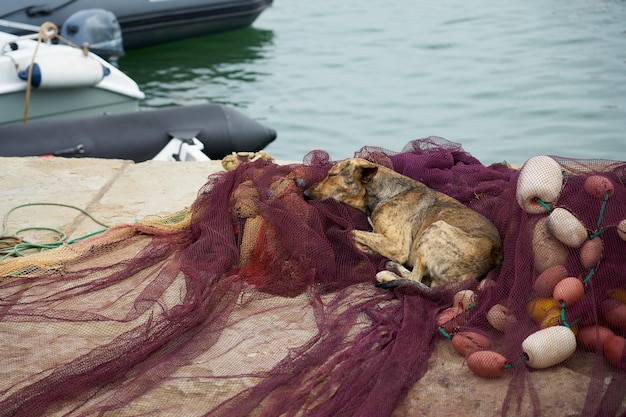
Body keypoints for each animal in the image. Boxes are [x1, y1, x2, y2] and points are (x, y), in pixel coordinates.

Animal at [302, 157, 502, 292]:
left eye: (331, 175)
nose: (304, 193)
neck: (380, 191)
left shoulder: (398, 247)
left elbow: (351, 232)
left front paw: (365, 247)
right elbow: (361, 233)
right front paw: (367, 248)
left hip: (435, 229)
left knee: (415, 278)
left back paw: (388, 272)